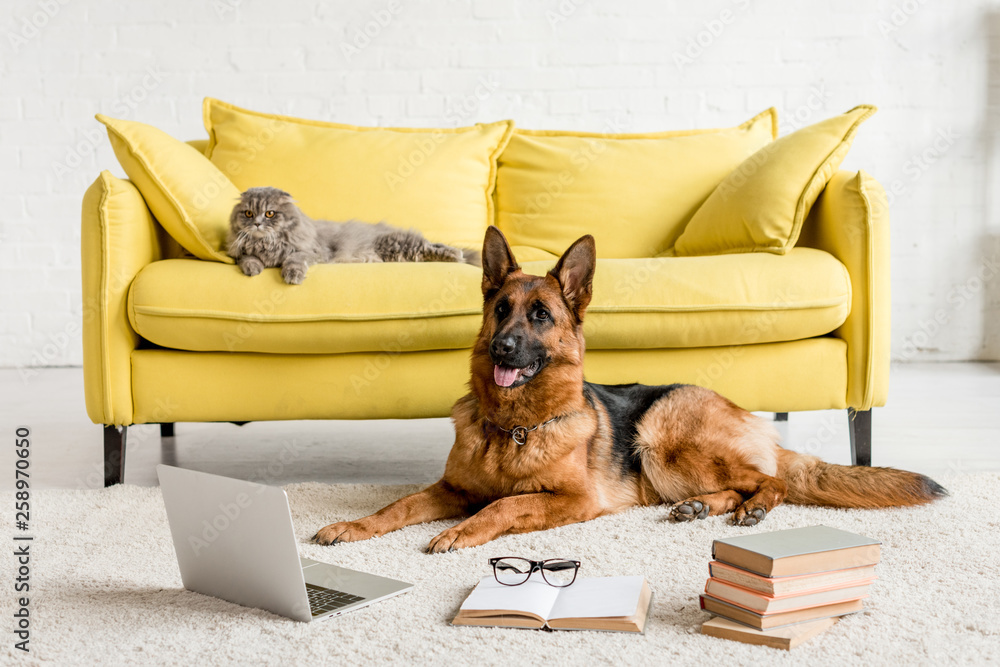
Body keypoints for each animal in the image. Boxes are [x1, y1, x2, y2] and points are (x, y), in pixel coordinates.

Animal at [226, 187, 480, 286]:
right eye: (248, 213)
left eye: (269, 213)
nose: (257, 223)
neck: (266, 244)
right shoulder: (241, 252)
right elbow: (247, 259)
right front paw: (253, 269)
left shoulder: (309, 251)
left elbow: (293, 261)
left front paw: (292, 277)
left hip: (398, 245)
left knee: (434, 246)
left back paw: (456, 255)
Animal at [314, 227, 944, 552]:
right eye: (501, 310)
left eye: (540, 316)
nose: (502, 349)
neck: (515, 425)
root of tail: (745, 416)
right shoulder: (449, 488)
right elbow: (396, 505)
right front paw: (353, 526)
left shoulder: (572, 500)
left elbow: (508, 503)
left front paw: (462, 531)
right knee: (737, 484)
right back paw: (701, 507)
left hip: (662, 439)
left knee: (773, 481)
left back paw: (754, 509)